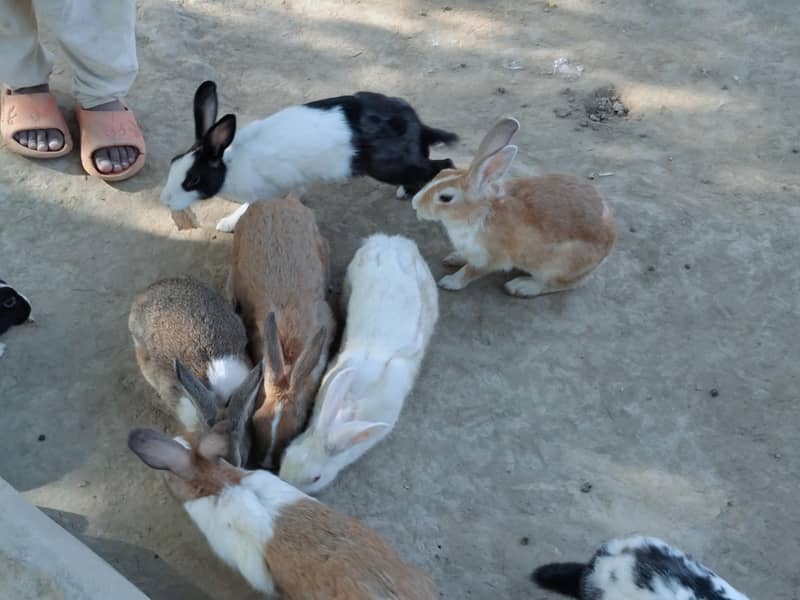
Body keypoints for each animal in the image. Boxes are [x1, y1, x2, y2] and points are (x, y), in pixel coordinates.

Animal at [160, 80, 459, 232]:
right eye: (172, 162)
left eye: (192, 179)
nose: (165, 201)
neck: (230, 166)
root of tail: (414, 122)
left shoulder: (266, 191)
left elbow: (248, 208)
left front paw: (227, 224)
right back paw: (406, 191)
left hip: (389, 166)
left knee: (443, 165)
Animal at [411, 117, 617, 298]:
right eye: (441, 173)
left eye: (445, 198)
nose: (415, 203)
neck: (479, 211)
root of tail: (609, 245)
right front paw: (453, 258)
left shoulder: (489, 258)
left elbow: (470, 272)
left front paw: (450, 282)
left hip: (558, 265)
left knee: (565, 283)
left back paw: (522, 287)